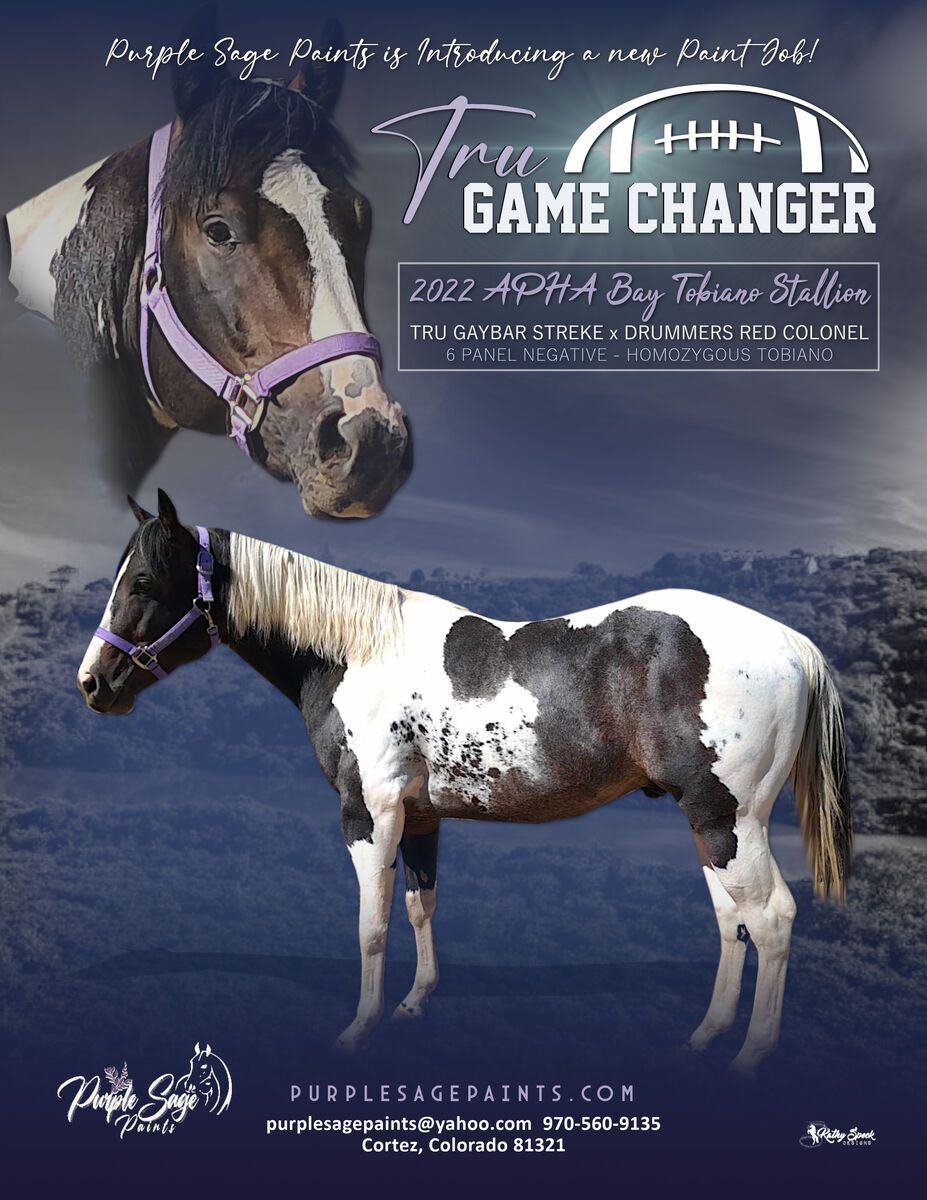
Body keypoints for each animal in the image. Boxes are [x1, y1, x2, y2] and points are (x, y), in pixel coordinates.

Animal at [78, 491, 852, 1076]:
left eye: (143, 581)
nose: (93, 683)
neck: (354, 652)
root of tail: (791, 645)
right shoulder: (420, 817)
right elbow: (421, 908)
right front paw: (414, 1004)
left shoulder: (370, 813)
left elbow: (370, 926)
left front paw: (358, 1030)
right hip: (709, 825)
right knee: (732, 921)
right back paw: (703, 1037)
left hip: (729, 818)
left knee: (772, 918)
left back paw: (749, 1056)